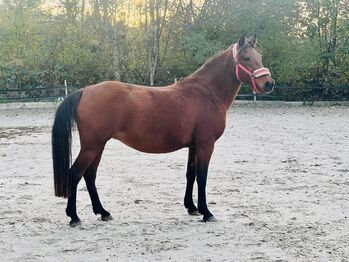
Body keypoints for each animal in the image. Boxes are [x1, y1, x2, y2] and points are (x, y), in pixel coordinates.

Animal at [52, 35, 274, 227]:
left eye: (260, 57)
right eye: (246, 58)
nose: (268, 83)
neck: (206, 94)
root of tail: (84, 91)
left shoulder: (194, 146)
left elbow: (190, 174)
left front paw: (192, 208)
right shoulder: (206, 144)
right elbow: (202, 177)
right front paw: (206, 212)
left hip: (98, 146)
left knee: (90, 175)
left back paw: (103, 212)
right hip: (92, 146)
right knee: (75, 173)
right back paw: (74, 217)